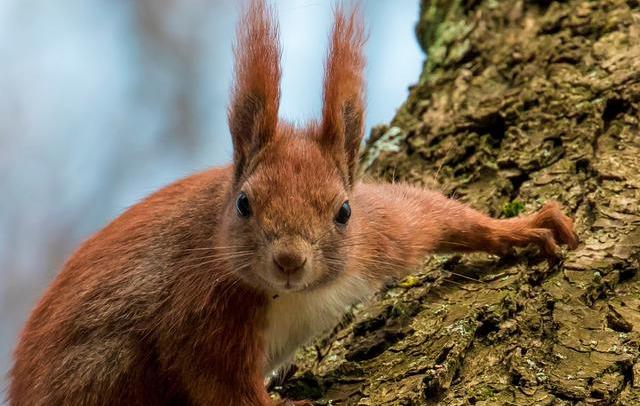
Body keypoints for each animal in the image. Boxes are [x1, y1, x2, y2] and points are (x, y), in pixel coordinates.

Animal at [10, 1, 580, 404]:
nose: (288, 260)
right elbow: (224, 388)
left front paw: (521, 229)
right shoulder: (199, 314)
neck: (297, 294)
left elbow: (432, 213)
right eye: (244, 204)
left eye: (343, 211)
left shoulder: (383, 234)